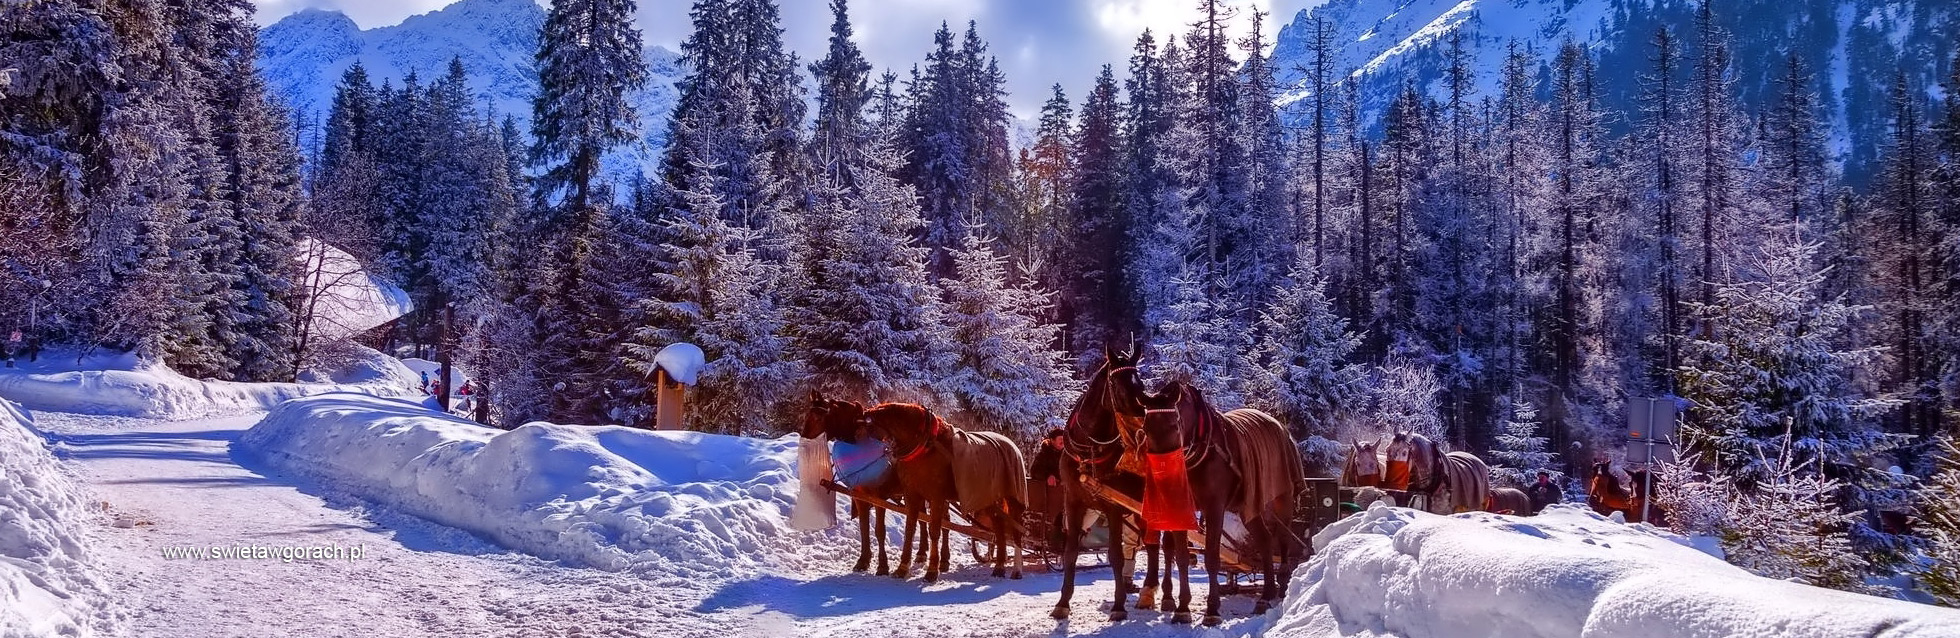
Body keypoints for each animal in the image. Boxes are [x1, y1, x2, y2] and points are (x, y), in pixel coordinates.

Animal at [866, 403, 1034, 583]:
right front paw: (902, 568)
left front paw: (932, 571)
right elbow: (909, 530)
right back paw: (999, 567)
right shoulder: (912, 494)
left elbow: (934, 531)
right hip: (989, 498)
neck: (924, 445)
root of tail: (1012, 445)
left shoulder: (936, 497)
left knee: (1017, 531)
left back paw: (1016, 570)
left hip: (1014, 497)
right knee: (999, 528)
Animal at [1113, 364, 1309, 622]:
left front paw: (1212, 609)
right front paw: (1182, 608)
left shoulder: (1214, 507)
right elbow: (1182, 557)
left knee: (1283, 539)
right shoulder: (1181, 507)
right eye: (1145, 428)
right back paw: (1265, 595)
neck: (1200, 450)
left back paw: (1283, 584)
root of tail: (1279, 425)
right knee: (1265, 540)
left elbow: (1212, 557)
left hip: (1281, 499)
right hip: (1251, 505)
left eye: (1174, 425)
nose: (1160, 474)